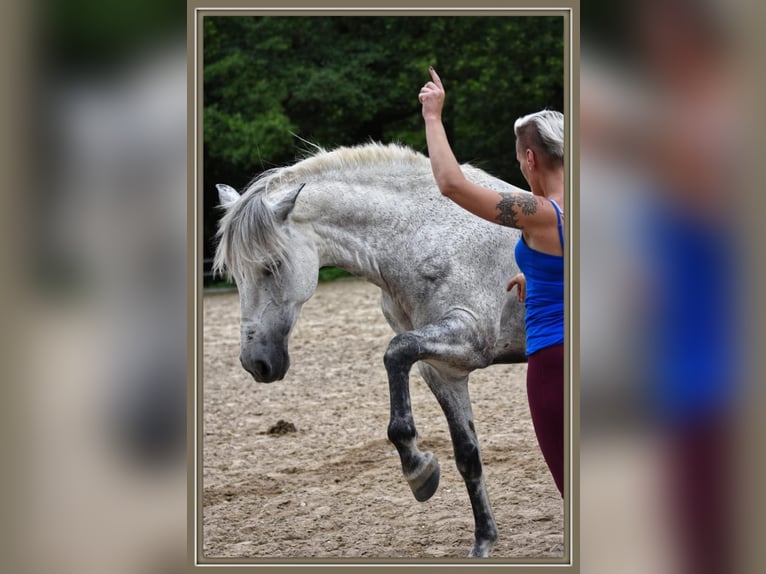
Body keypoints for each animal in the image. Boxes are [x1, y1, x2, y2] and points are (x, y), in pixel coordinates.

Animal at [213, 141, 531, 558]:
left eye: (272, 265)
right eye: (235, 274)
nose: (256, 363)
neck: (427, 237)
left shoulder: (470, 338)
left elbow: (395, 353)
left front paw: (418, 470)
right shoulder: (443, 369)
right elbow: (468, 455)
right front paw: (483, 540)